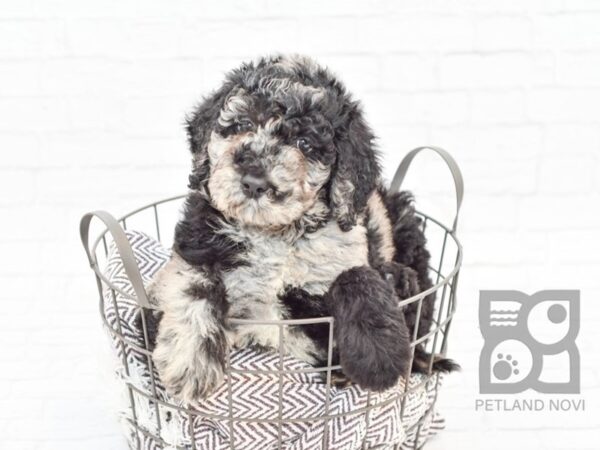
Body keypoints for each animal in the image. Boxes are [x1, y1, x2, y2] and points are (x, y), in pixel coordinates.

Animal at [149, 54, 454, 402]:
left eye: (305, 143)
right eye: (242, 125)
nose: (254, 182)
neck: (272, 233)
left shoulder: (342, 255)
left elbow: (355, 276)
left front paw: (379, 357)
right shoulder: (194, 246)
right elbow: (193, 286)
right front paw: (190, 361)